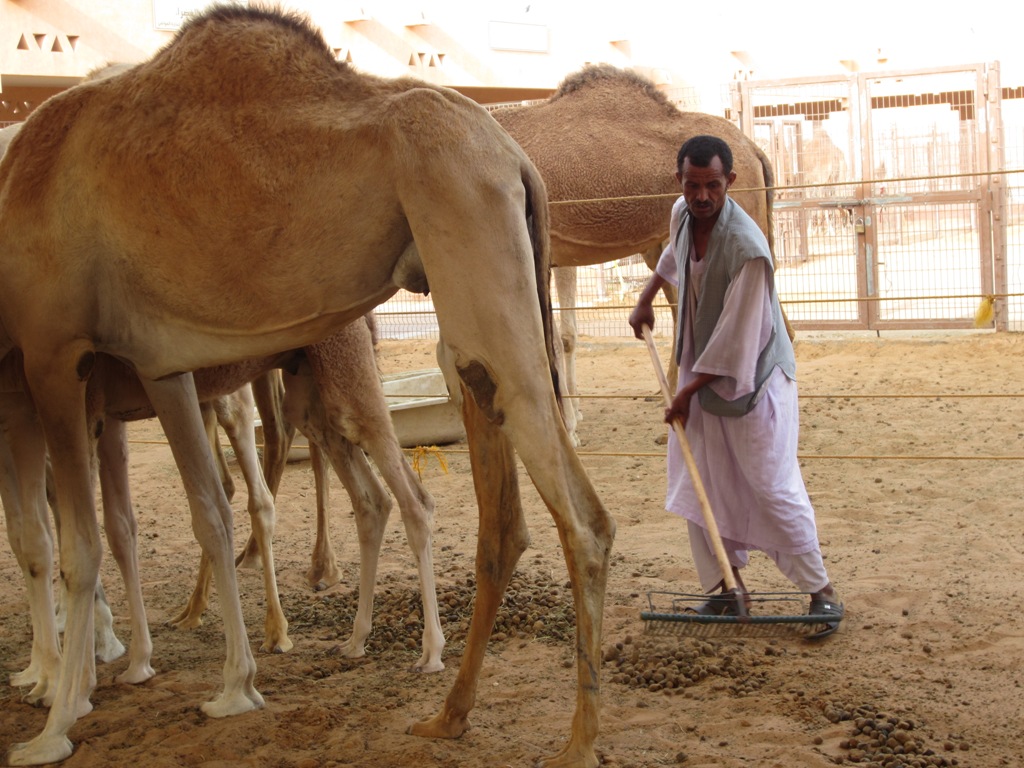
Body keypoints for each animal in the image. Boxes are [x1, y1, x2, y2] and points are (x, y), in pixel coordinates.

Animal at [0, 7, 610, 768]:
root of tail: (515, 155)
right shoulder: (151, 368)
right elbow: (185, 512)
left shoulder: (52, 356)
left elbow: (71, 545)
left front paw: (55, 719)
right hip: (465, 306)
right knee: (503, 512)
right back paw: (449, 713)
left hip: (472, 252)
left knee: (579, 517)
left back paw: (575, 739)